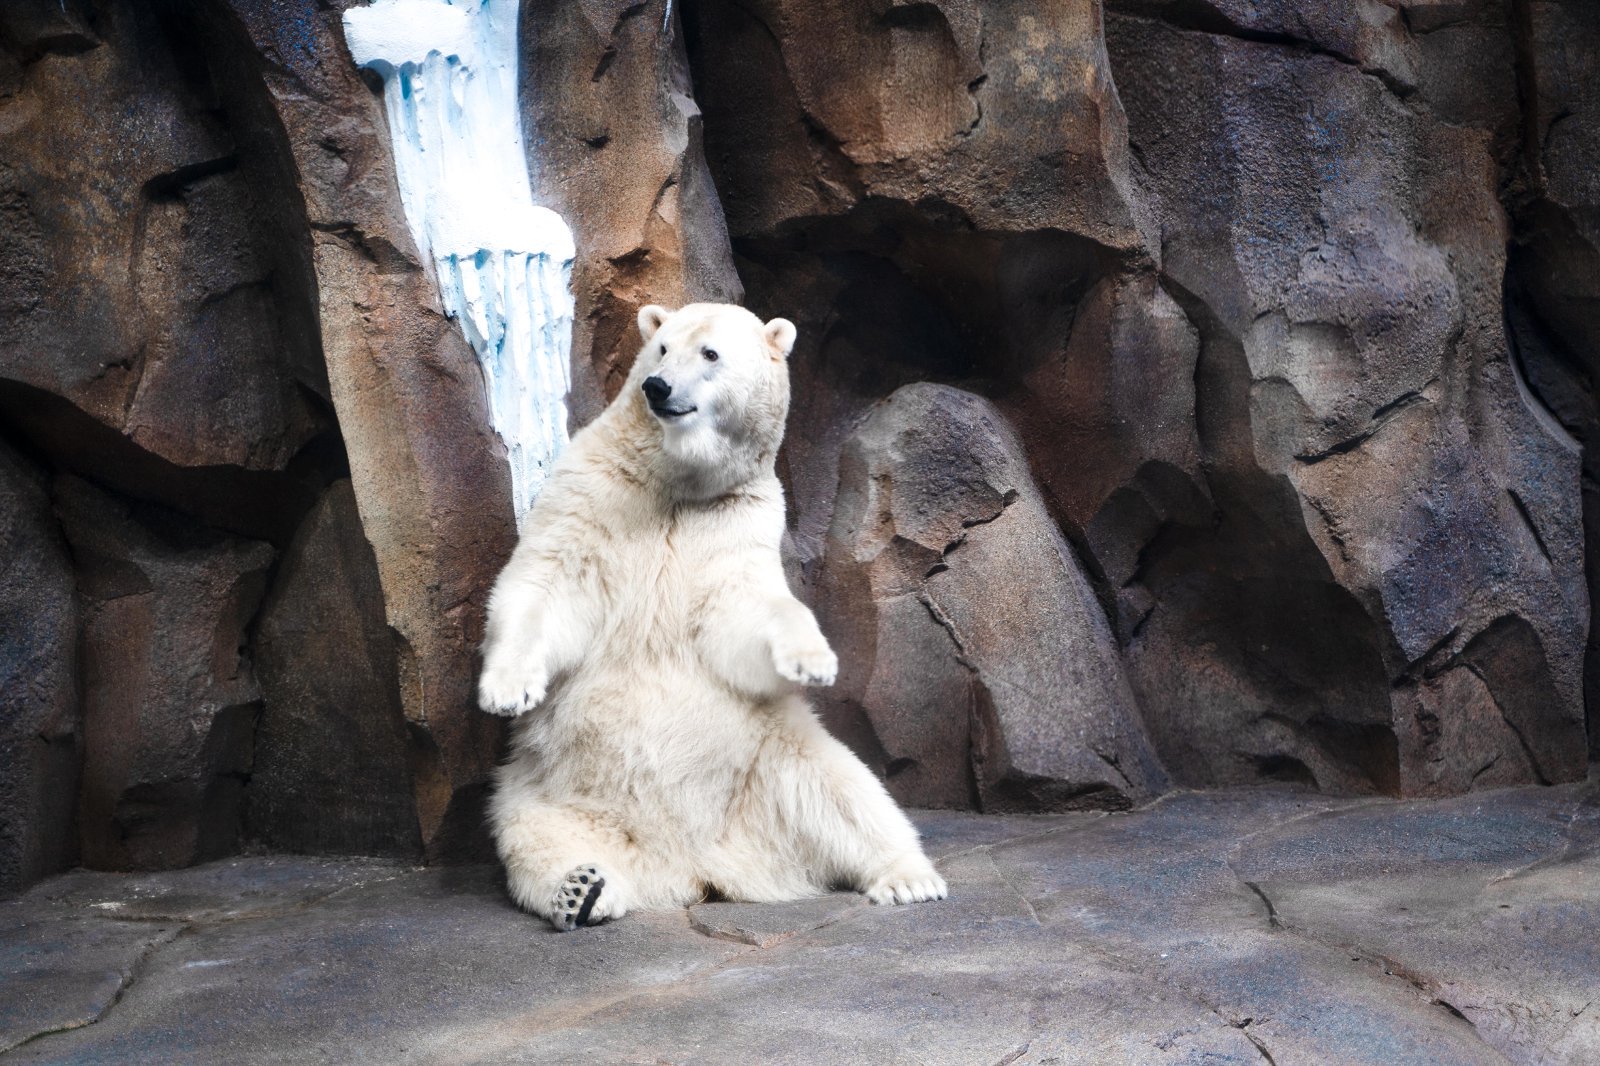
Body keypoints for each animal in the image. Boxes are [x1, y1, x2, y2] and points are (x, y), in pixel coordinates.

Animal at [477, 302, 947, 930]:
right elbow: (547, 581)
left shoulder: (737, 519)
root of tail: (692, 868)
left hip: (770, 762)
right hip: (545, 789)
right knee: (533, 836)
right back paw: (582, 890)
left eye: (710, 354)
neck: (678, 481)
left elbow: (741, 610)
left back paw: (910, 877)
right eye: (661, 349)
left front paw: (811, 661)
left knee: (848, 793)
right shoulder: (593, 490)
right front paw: (509, 690)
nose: (657, 388)